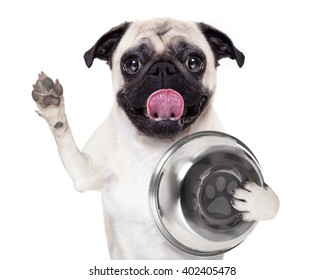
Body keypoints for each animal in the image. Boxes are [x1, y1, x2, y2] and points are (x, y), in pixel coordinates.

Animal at [31, 17, 278, 260]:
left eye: (194, 61)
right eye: (132, 64)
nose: (163, 68)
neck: (156, 147)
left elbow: (274, 203)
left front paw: (254, 199)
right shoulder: (86, 172)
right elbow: (66, 140)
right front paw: (52, 106)